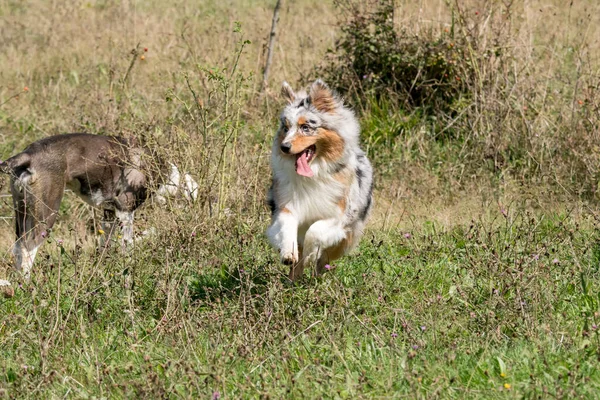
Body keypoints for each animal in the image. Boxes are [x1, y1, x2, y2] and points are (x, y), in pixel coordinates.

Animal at [266, 79, 372, 282]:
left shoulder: (338, 217)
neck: (313, 173)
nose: (284, 147)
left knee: (324, 259)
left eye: (305, 127)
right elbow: (287, 226)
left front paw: (310, 254)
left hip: (345, 239)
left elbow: (315, 232)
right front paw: (288, 254)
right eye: (286, 128)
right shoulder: (286, 205)